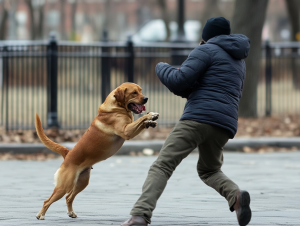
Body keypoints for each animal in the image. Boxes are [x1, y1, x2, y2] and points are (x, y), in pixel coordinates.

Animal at [34, 82, 159, 220]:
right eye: (134, 93)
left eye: (140, 91)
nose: (146, 98)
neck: (116, 107)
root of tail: (67, 154)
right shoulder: (126, 131)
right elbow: (139, 120)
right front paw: (150, 115)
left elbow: (141, 122)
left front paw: (150, 121)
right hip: (64, 186)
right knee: (48, 200)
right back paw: (40, 215)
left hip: (81, 183)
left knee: (69, 197)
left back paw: (71, 213)